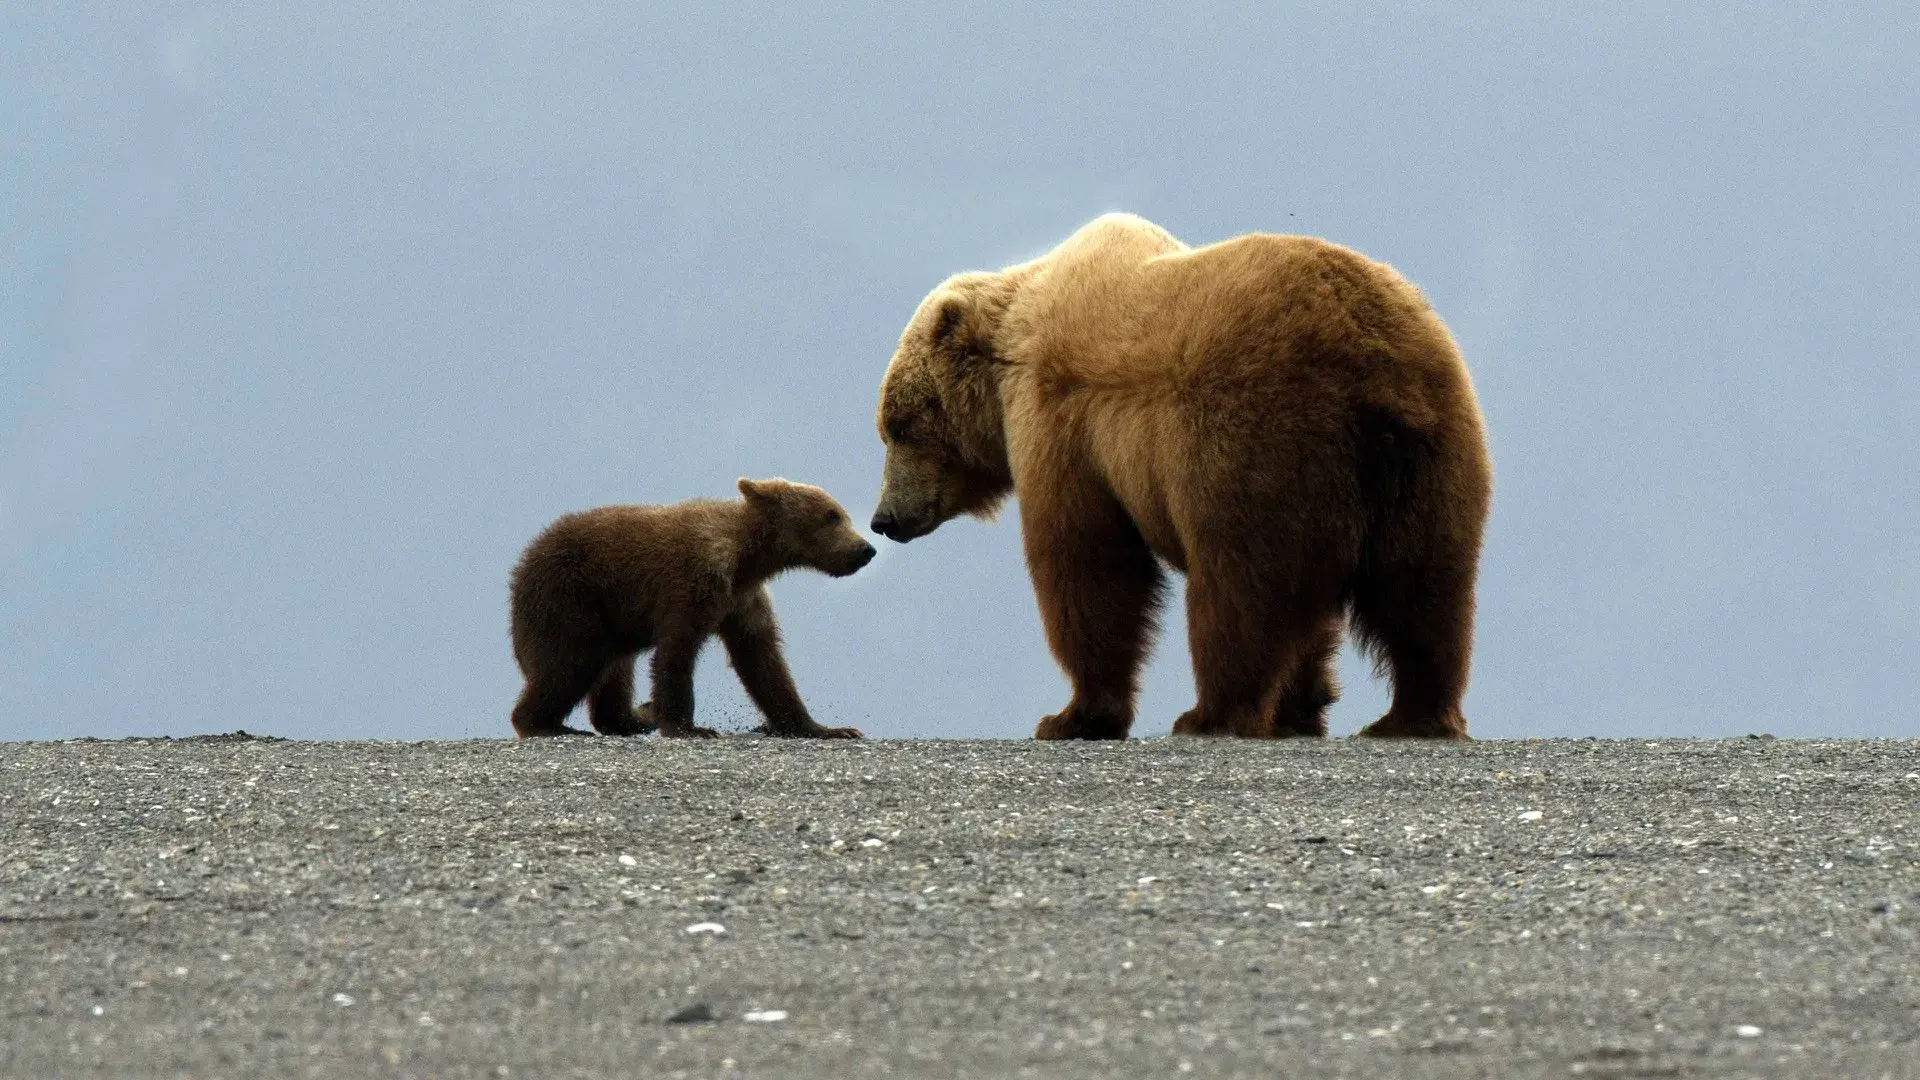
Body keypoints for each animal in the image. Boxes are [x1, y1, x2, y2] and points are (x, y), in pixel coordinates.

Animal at [509, 478, 875, 739]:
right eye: (831, 515)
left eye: (840, 513)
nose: (865, 549)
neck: (745, 558)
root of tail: (522, 564)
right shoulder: (693, 582)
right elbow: (678, 650)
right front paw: (689, 727)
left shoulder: (743, 600)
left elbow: (763, 661)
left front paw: (828, 728)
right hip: (570, 600)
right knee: (570, 663)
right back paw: (544, 724)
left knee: (614, 672)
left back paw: (634, 717)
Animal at [869, 213, 1492, 741]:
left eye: (899, 425)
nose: (884, 518)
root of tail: (1370, 367)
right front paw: (1303, 705)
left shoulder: (1064, 420)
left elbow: (1088, 561)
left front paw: (1074, 716)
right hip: (1431, 451)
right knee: (1425, 589)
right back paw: (1413, 716)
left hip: (1254, 439)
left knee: (1239, 590)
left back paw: (1210, 714)